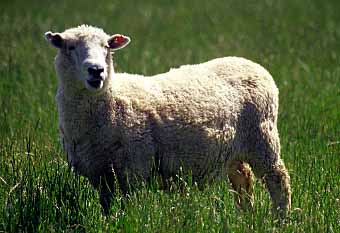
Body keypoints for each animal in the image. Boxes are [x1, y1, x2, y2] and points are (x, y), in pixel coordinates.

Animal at [43, 24, 290, 216]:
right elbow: (107, 208)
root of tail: (252, 64)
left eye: (107, 47)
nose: (97, 70)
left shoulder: (135, 167)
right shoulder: (100, 174)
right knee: (243, 181)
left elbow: (129, 208)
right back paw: (245, 216)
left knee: (279, 180)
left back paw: (280, 219)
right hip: (233, 151)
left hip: (262, 138)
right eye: (70, 47)